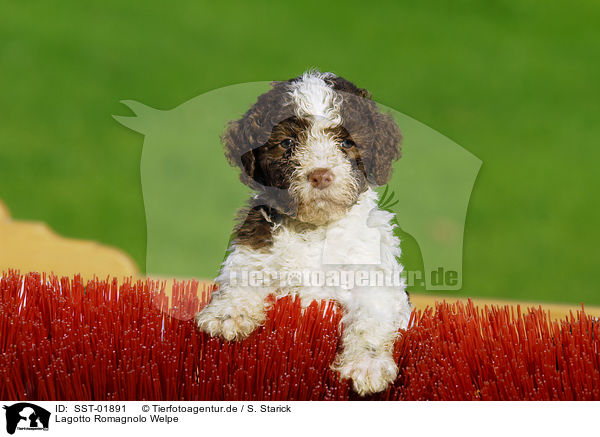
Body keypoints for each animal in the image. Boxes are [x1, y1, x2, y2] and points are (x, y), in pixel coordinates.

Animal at [197, 70, 412, 396]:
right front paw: (227, 314)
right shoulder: (254, 242)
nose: (321, 175)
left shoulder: (374, 275)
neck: (315, 228)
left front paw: (367, 365)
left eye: (347, 142)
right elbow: (244, 272)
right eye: (287, 143)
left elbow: (372, 317)